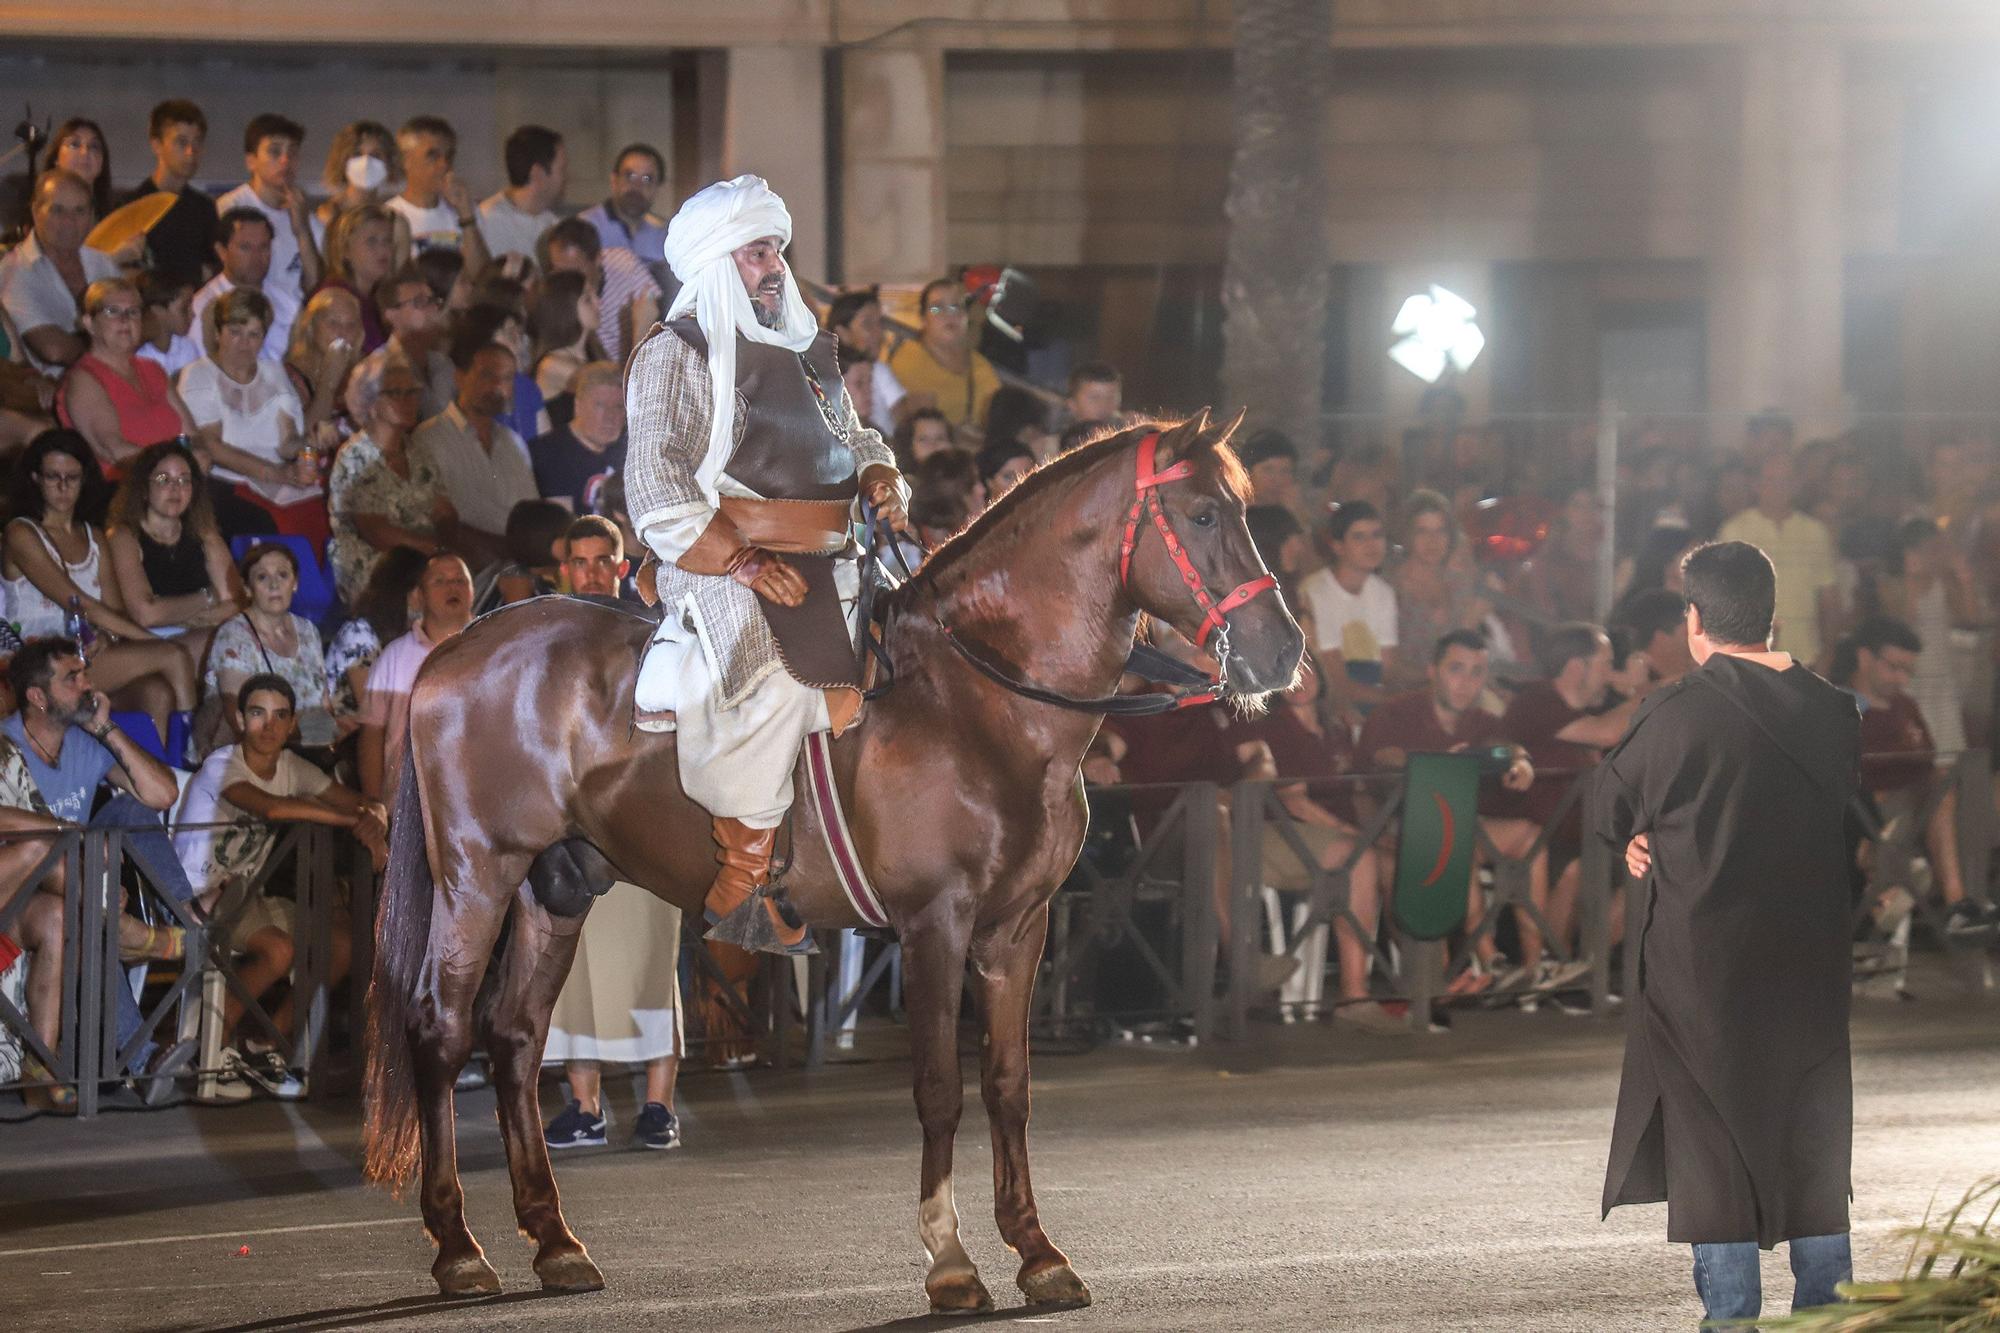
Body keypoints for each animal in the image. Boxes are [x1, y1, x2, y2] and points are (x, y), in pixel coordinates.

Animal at [362, 412, 1304, 1304]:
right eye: (1203, 512)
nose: (1282, 649)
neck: (976, 699)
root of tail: (457, 647)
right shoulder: (935, 924)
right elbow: (939, 1087)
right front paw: (950, 1260)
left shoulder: (1017, 928)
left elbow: (1008, 1083)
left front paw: (1037, 1251)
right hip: (478, 876)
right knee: (442, 1029)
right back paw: (458, 1247)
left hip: (558, 885)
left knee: (517, 1039)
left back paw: (554, 1240)